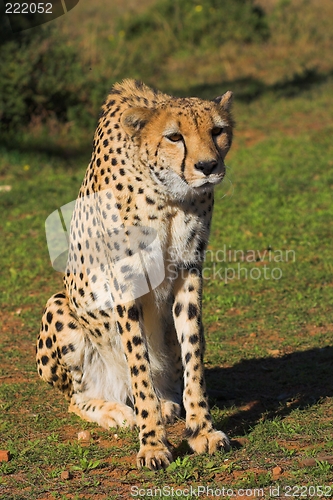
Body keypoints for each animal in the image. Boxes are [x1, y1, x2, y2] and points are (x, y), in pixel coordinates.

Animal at [37, 80, 233, 470]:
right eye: (174, 136)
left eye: (218, 131)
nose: (208, 166)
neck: (169, 194)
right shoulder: (125, 282)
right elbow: (138, 365)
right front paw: (153, 444)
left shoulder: (189, 271)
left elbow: (193, 355)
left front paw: (201, 430)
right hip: (59, 307)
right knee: (77, 398)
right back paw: (114, 410)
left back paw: (168, 402)